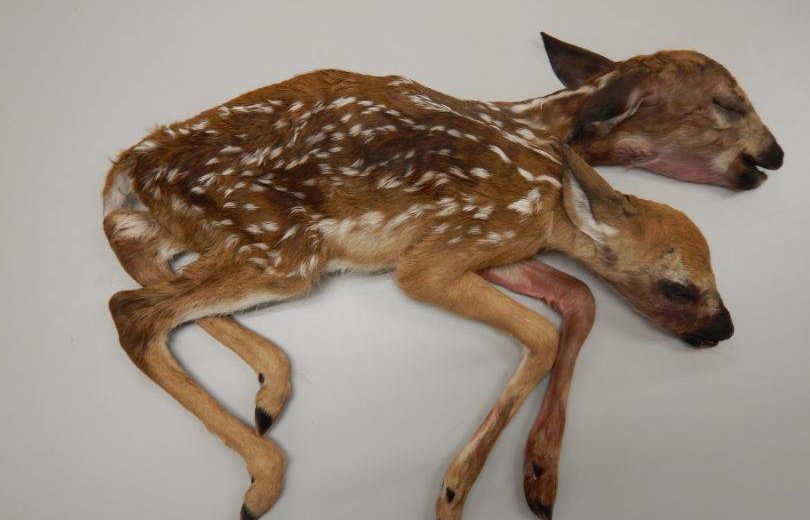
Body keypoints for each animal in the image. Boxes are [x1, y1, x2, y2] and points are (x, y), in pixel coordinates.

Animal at [102, 33, 778, 520]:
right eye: (728, 103)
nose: (775, 153)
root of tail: (132, 164)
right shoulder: (435, 259)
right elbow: (545, 329)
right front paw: (454, 494)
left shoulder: (494, 248)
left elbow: (579, 298)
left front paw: (540, 475)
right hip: (282, 250)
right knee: (132, 307)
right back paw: (262, 478)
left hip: (215, 235)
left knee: (132, 247)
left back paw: (271, 386)